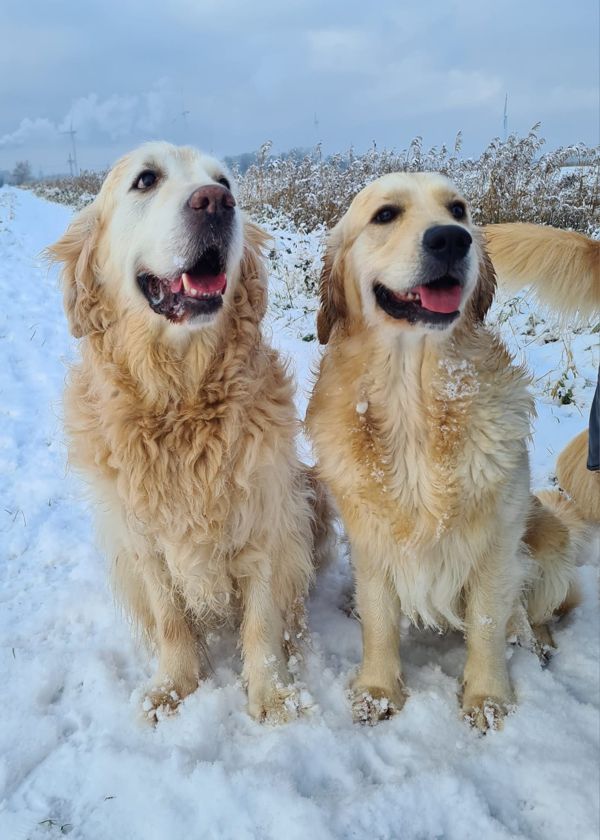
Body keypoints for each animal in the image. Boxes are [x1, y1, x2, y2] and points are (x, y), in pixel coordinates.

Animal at [48, 144, 316, 720]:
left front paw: (271, 694)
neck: (180, 401)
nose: (216, 202)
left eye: (225, 181)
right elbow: (171, 620)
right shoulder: (140, 536)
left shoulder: (265, 517)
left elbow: (262, 619)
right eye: (145, 180)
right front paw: (174, 687)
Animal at [308, 174, 588, 732]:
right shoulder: (371, 540)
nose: (451, 240)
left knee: (539, 612)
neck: (416, 403)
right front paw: (378, 690)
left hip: (548, 541)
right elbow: (378, 620)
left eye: (458, 210)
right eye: (385, 214)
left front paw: (487, 698)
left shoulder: (496, 543)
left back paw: (536, 642)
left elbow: (486, 622)